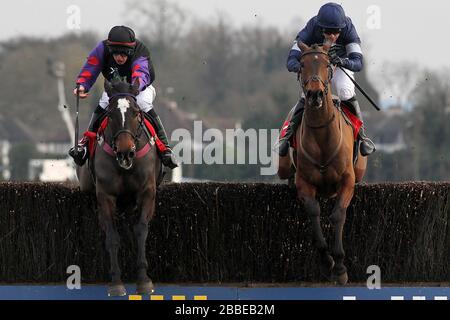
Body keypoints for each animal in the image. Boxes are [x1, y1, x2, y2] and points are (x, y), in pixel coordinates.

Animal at [77, 79, 162, 296]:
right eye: (110, 114)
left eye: (136, 113)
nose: (125, 152)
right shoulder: (105, 196)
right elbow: (112, 236)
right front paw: (116, 282)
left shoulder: (147, 192)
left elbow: (140, 230)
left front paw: (143, 280)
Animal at [278, 43, 370, 284]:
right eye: (302, 64)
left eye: (328, 63)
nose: (315, 94)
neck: (322, 136)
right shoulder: (304, 182)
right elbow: (313, 211)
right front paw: (327, 261)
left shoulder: (348, 180)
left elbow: (338, 214)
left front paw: (340, 266)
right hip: (284, 167)